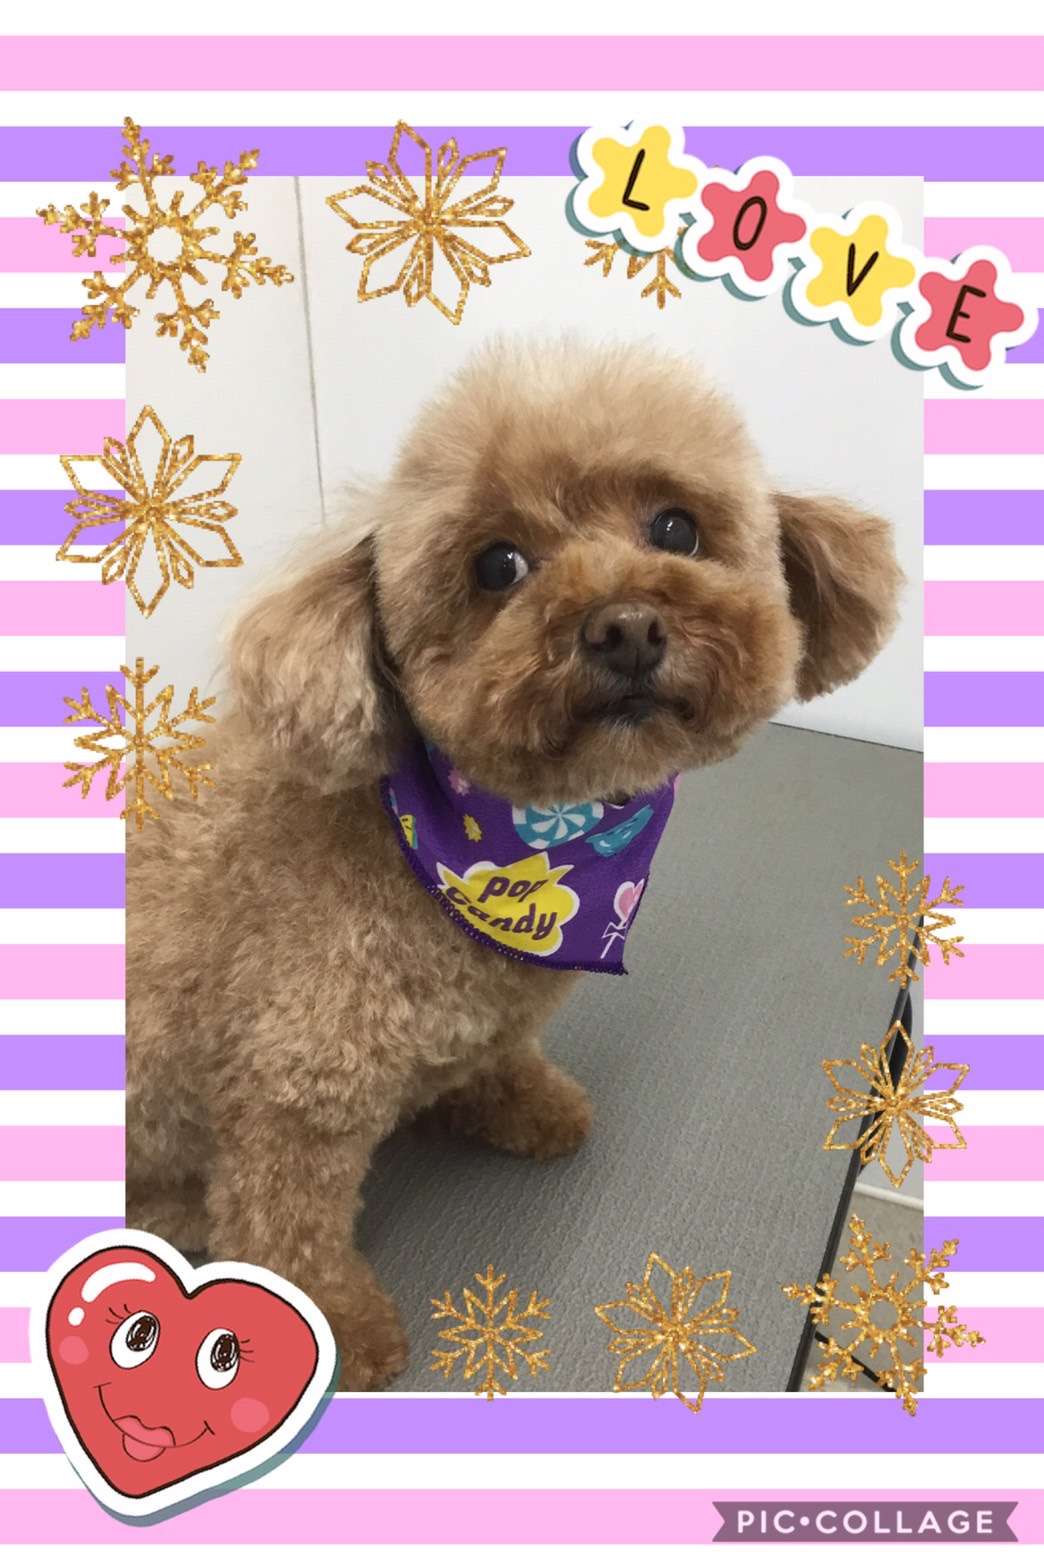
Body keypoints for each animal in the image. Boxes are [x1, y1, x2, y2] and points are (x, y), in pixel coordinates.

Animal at [127, 339, 903, 1389]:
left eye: (676, 527)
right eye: (497, 564)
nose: (625, 626)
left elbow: (493, 1055)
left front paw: (528, 1103)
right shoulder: (292, 1100)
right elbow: (291, 1234)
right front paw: (337, 1334)